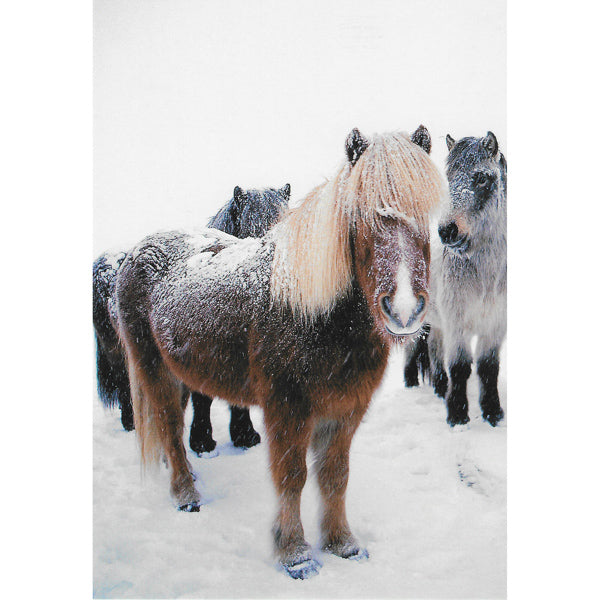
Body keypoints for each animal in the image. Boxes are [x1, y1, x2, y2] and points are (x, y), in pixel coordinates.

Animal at [94, 183, 290, 450]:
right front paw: (202, 441)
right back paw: (130, 420)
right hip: (117, 349)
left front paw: (244, 435)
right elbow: (202, 399)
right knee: (125, 382)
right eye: (255, 227)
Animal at [115, 125, 446, 576]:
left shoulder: (347, 408)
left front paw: (342, 543)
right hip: (154, 369)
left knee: (173, 428)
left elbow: (335, 476)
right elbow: (292, 476)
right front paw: (295, 554)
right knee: (167, 426)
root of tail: (136, 251)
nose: (404, 308)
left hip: (178, 372)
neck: (313, 312)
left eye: (425, 214)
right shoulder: (287, 408)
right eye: (359, 216)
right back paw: (185, 495)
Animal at [404, 130, 506, 426]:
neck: (486, 278)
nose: (448, 231)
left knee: (434, 347)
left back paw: (440, 387)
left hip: (438, 321)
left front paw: (493, 413)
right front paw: (458, 416)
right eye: (448, 176)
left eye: (482, 178)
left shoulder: (495, 325)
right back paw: (413, 384)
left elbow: (488, 368)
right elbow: (460, 367)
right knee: (414, 348)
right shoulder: (458, 323)